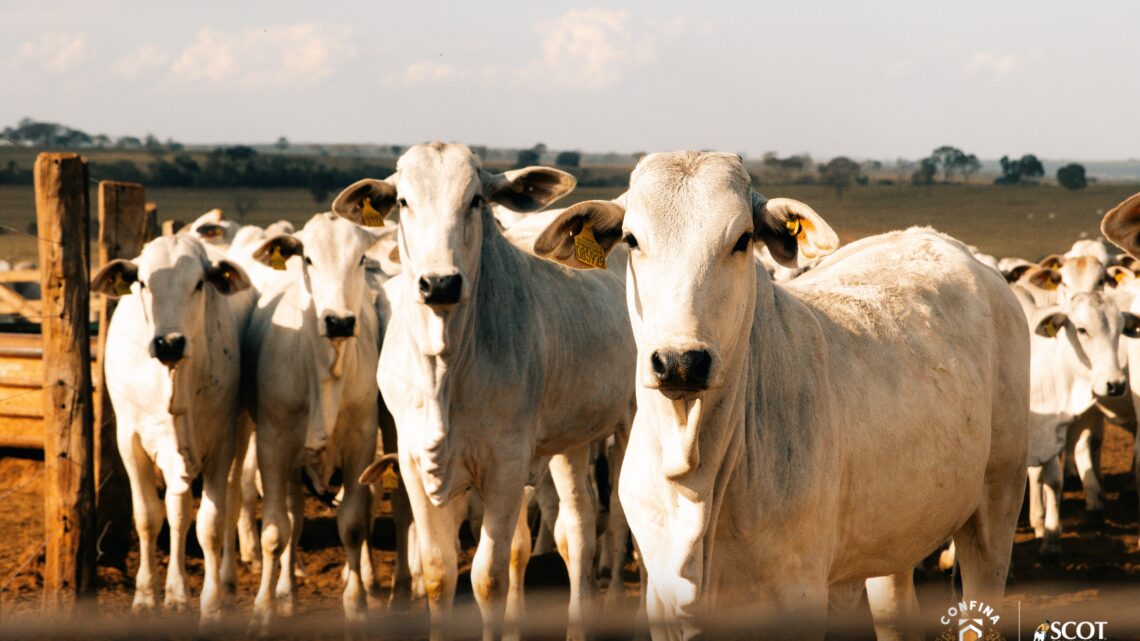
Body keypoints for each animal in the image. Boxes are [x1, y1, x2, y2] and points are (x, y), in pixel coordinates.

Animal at [92, 234, 254, 620]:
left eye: (199, 284)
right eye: (143, 283)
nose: (169, 343)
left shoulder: (222, 443)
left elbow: (211, 524)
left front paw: (211, 603)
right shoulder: (129, 441)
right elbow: (148, 516)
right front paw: (146, 595)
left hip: (240, 434)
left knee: (232, 499)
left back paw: (225, 584)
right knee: (176, 511)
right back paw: (176, 590)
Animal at [242, 212, 385, 625]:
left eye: (360, 258)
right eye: (308, 258)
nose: (339, 321)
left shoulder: (362, 442)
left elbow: (352, 525)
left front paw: (356, 603)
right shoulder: (273, 445)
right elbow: (275, 532)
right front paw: (263, 608)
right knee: (292, 517)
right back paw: (285, 590)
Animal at [332, 143, 642, 638]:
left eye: (476, 200)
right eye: (402, 202)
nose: (440, 283)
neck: (446, 367)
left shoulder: (505, 466)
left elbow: (488, 577)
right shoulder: (415, 464)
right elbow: (439, 572)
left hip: (631, 421)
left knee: (615, 522)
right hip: (569, 442)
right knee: (578, 529)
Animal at [528, 151, 1030, 638]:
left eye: (743, 239)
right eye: (631, 239)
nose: (679, 362)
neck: (696, 477)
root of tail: (948, 245)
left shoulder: (798, 596)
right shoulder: (663, 600)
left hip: (997, 508)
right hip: (895, 533)